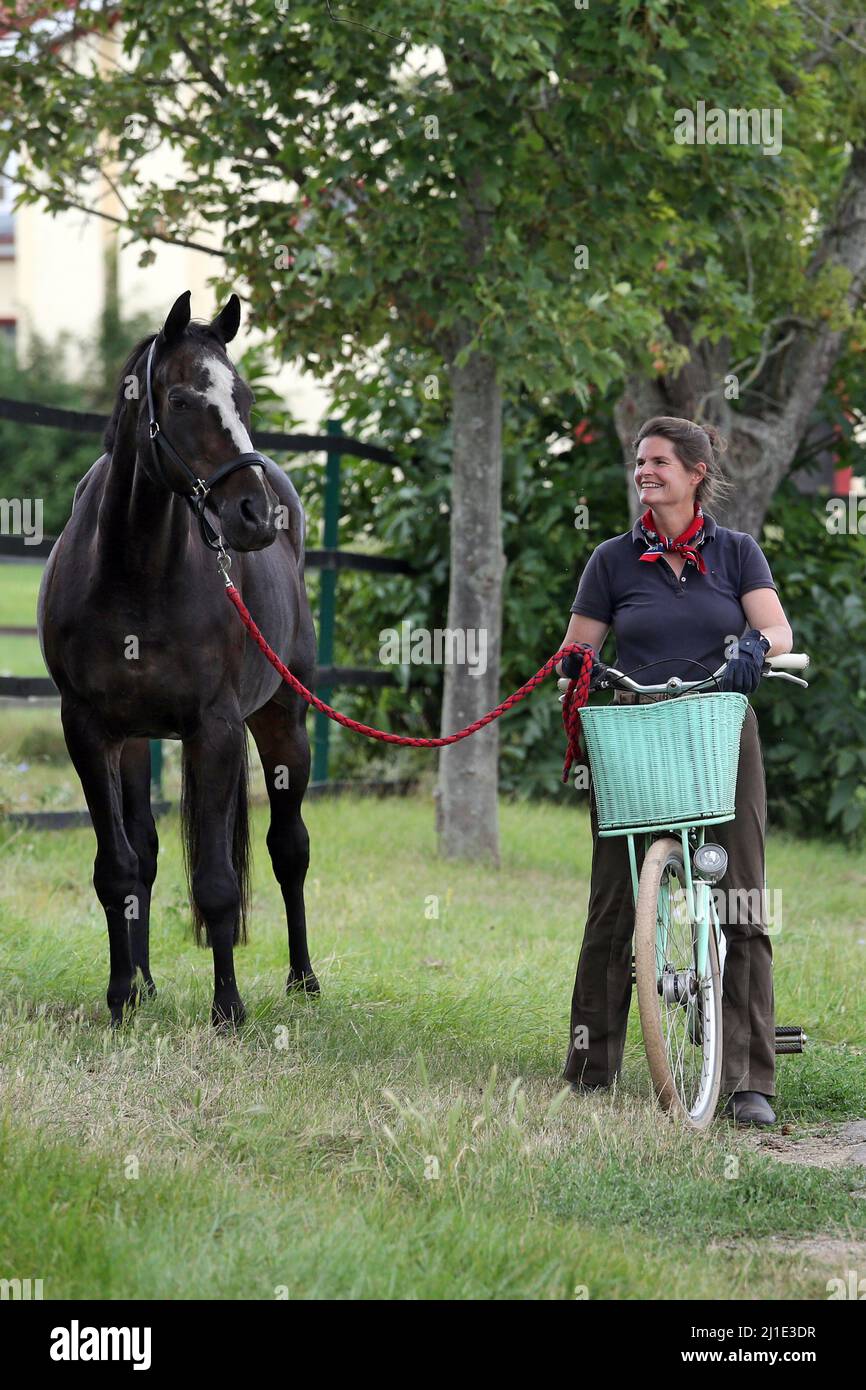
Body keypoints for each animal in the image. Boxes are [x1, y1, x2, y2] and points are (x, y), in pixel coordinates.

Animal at [38, 293, 318, 1028]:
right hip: (136, 742)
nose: (254, 515)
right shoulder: (87, 729)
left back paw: (304, 978)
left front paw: (229, 1009)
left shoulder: (214, 729)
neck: (134, 572)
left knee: (290, 850)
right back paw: (143, 980)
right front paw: (121, 997)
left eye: (244, 397)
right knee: (146, 853)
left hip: (284, 722)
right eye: (185, 399)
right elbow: (119, 868)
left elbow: (219, 882)